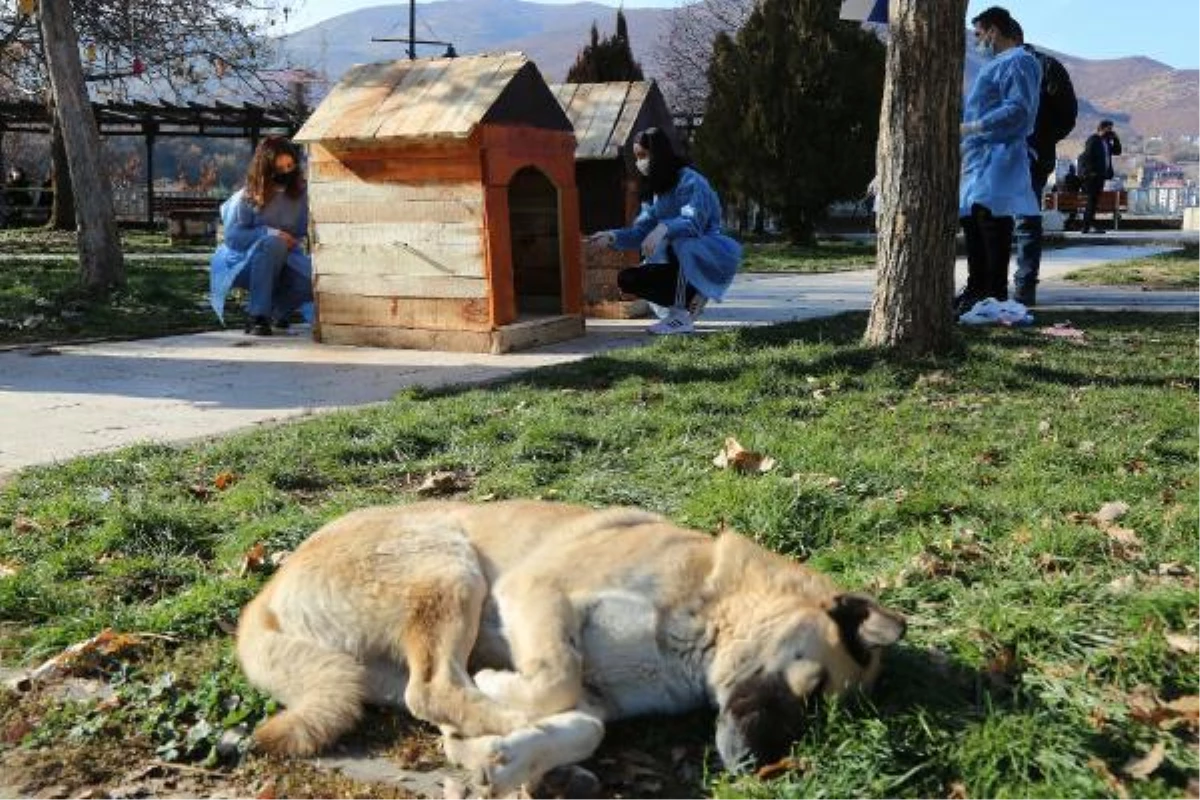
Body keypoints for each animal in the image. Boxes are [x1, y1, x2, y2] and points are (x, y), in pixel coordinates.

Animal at [238, 501, 902, 796]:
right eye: (812, 690)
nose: (754, 768)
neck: (715, 610)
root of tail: (266, 594)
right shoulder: (537, 592)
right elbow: (555, 680)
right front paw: (503, 713)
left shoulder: (599, 696)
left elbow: (587, 723)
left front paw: (513, 756)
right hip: (452, 568)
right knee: (433, 687)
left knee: (426, 694)